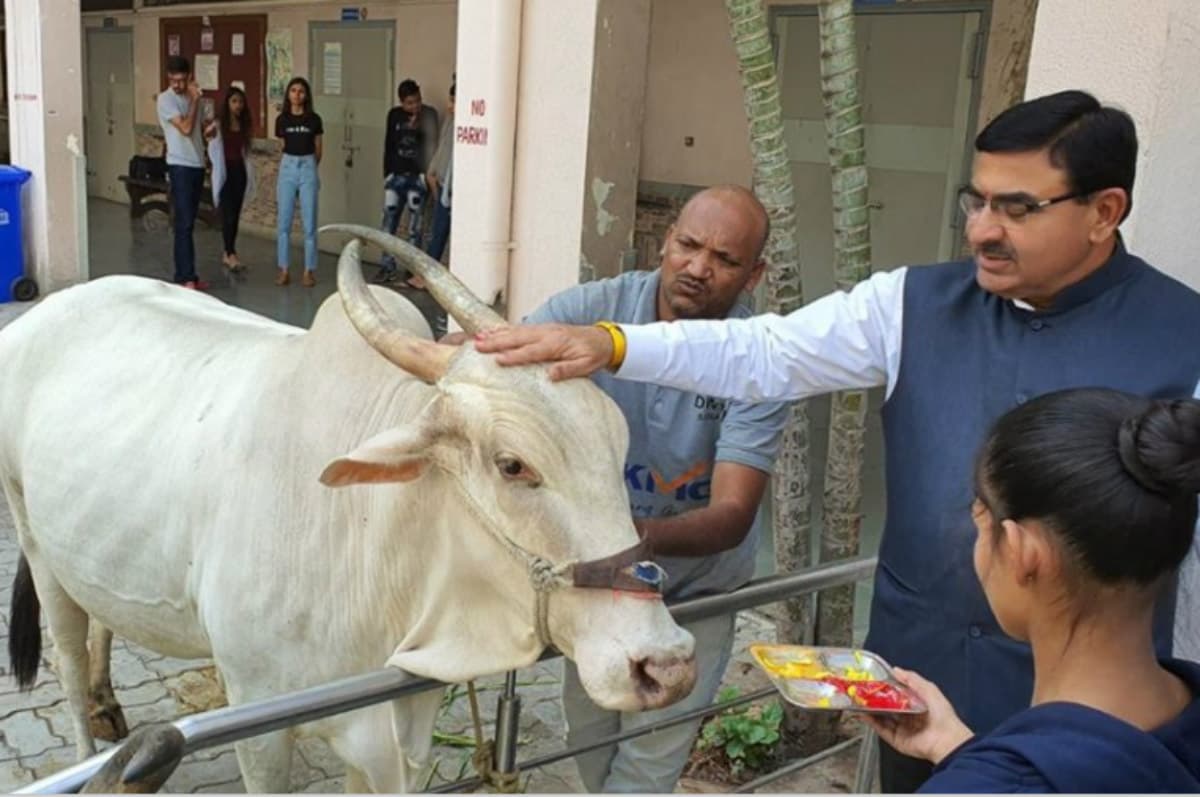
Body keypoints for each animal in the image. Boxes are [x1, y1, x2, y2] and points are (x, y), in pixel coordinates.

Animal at [0, 227, 697, 792]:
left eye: (619, 445)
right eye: (512, 465)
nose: (664, 665)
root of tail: (42, 312)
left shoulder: (392, 727)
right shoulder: (257, 720)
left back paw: (107, 701)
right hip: (34, 539)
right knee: (67, 655)